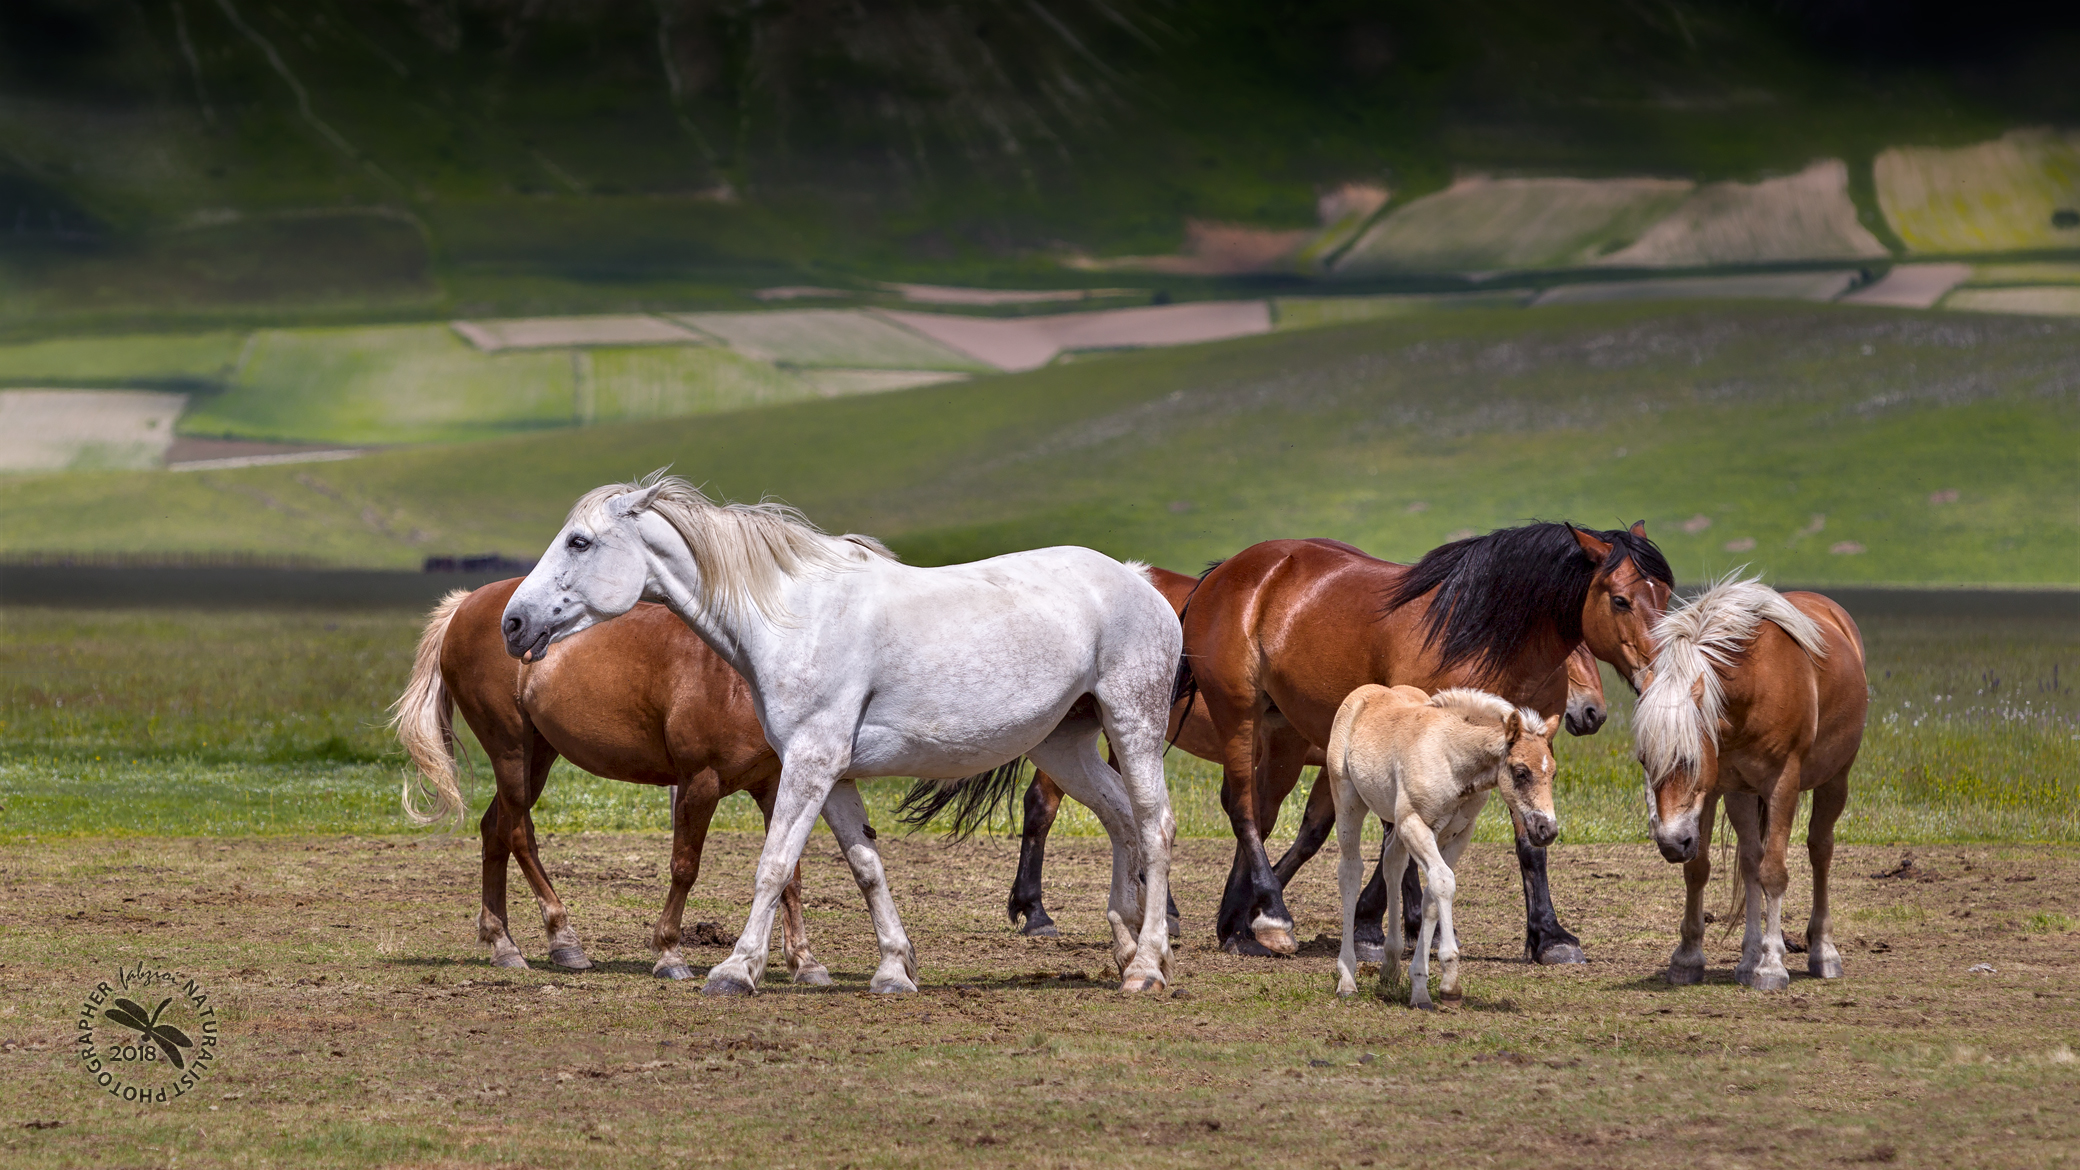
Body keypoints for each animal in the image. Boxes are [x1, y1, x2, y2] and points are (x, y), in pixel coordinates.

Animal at [391, 578, 832, 984]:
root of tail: (467, 604)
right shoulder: (699, 783)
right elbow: (684, 867)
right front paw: (669, 952)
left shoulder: (774, 787)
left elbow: (788, 873)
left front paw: (805, 961)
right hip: (510, 750)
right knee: (517, 833)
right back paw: (563, 938)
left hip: (538, 754)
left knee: (493, 831)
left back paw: (503, 943)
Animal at [500, 473, 1182, 994]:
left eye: (580, 541)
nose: (513, 623)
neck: (795, 619)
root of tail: (1137, 579)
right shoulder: (834, 776)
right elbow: (866, 866)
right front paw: (893, 971)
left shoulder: (810, 764)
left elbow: (774, 866)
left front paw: (736, 970)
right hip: (1064, 746)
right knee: (1121, 819)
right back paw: (1125, 948)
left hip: (1132, 723)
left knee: (1154, 825)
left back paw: (1147, 966)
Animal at [1175, 523, 1671, 960]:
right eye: (1621, 600)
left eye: (1666, 597)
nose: (1658, 676)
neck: (1489, 641)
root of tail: (1225, 572)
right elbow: (1400, 834)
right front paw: (1380, 927)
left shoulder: (1523, 750)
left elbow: (1531, 841)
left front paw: (1549, 937)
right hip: (1238, 715)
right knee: (1243, 808)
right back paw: (1272, 916)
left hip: (1283, 735)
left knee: (1261, 811)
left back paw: (1238, 926)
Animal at [1327, 686, 1561, 1007]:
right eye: (1521, 771)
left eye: (1553, 774)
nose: (1547, 830)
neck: (1452, 760)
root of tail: (1366, 692)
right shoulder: (1414, 823)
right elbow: (1443, 882)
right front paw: (1450, 981)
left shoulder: (1457, 833)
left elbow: (1432, 894)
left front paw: (1420, 987)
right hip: (1349, 800)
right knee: (1350, 871)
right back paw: (1348, 978)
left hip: (1398, 826)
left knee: (1392, 865)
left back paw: (1390, 967)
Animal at [1636, 576, 1866, 991]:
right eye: (1645, 760)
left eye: (1689, 759)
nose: (1672, 844)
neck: (1754, 686)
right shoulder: (1716, 790)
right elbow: (1701, 868)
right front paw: (1688, 958)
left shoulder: (1782, 784)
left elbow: (1774, 872)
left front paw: (1772, 965)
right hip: (1741, 795)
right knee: (1749, 860)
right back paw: (1747, 958)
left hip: (1834, 780)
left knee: (1820, 850)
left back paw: (1823, 952)